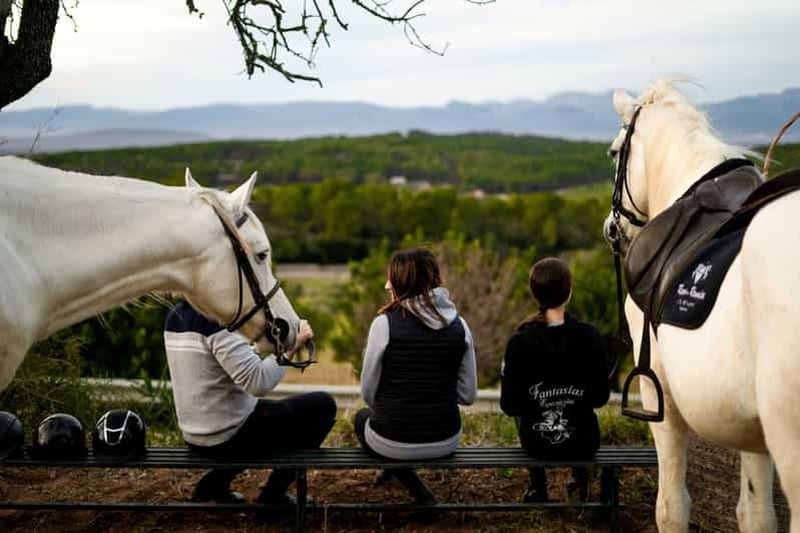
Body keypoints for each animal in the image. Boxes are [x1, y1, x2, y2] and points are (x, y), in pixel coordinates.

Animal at [603, 79, 800, 533]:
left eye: (614, 152)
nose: (611, 228)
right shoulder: (753, 426)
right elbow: (755, 515)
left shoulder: (658, 394)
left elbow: (671, 507)